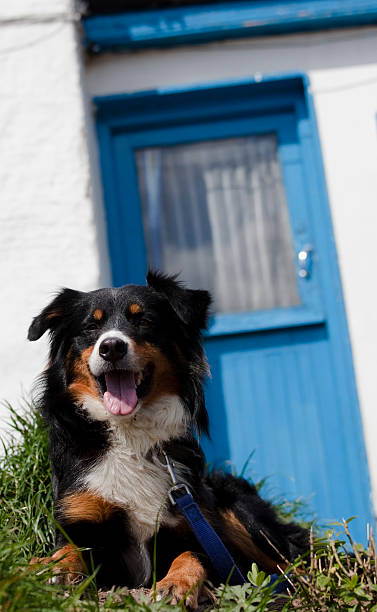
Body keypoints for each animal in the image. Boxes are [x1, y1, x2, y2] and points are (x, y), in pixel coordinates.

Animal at [27, 272, 306, 608]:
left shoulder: (199, 529)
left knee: (292, 559)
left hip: (236, 509)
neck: (129, 435)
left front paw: (176, 584)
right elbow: (68, 549)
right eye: (90, 327)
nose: (111, 347)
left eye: (144, 320)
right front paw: (52, 567)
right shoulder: (80, 516)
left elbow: (191, 555)